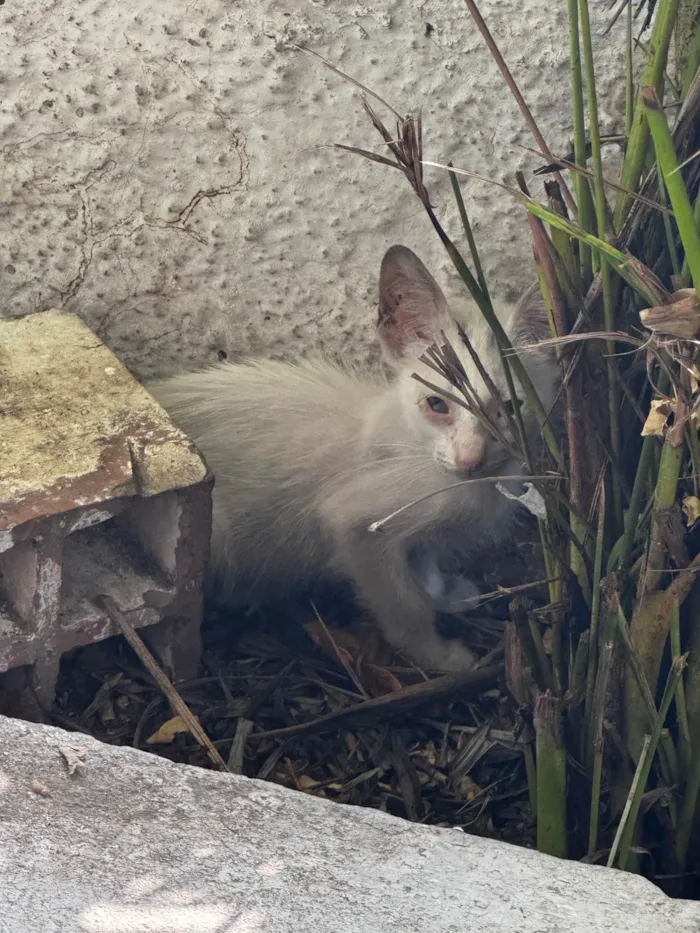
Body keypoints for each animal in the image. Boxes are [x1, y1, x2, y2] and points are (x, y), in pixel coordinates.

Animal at [149, 248, 556, 668]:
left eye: (510, 407)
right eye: (437, 403)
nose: (470, 459)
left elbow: (424, 563)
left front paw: (445, 592)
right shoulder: (355, 523)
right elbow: (402, 603)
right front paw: (439, 656)